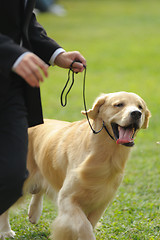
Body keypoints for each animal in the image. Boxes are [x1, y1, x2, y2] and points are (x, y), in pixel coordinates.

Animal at [0, 91, 150, 239]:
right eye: (119, 105)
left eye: (140, 107)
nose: (136, 113)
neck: (105, 154)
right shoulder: (67, 198)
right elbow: (84, 225)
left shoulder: (102, 201)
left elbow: (90, 222)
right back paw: (6, 231)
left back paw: (34, 213)